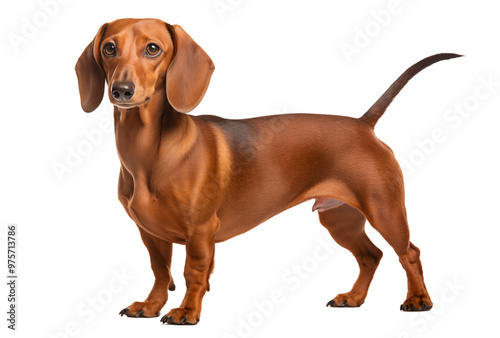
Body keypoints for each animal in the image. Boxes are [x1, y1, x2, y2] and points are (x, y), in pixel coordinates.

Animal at [74, 18, 460, 324]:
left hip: (384, 209)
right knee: (371, 256)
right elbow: (160, 271)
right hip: (340, 218)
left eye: (153, 48)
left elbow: (191, 273)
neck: (148, 153)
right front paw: (150, 306)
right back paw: (353, 298)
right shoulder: (150, 234)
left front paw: (186, 312)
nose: (121, 91)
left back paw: (418, 300)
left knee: (409, 253)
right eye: (109, 48)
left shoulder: (200, 231)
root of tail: (364, 125)